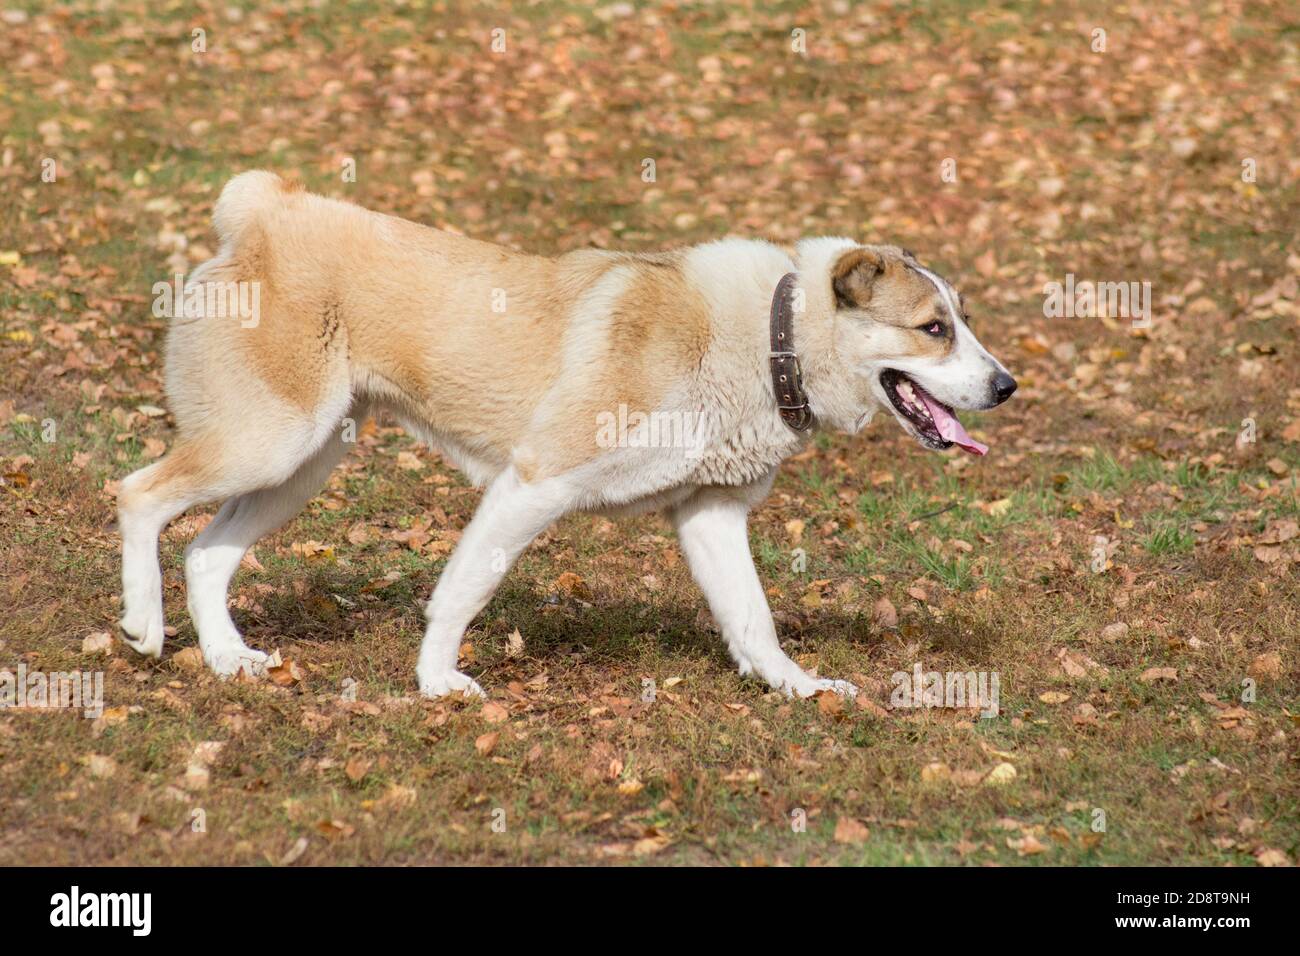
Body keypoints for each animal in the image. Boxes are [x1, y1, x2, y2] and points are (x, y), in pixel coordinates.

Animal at [116, 170, 1013, 697]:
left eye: (960, 321)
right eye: (934, 329)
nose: (1006, 387)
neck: (767, 337)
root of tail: (262, 210)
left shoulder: (711, 516)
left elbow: (753, 618)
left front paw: (796, 688)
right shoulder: (534, 484)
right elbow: (463, 593)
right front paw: (438, 685)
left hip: (301, 465)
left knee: (207, 554)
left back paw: (227, 660)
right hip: (268, 442)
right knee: (138, 496)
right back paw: (143, 626)